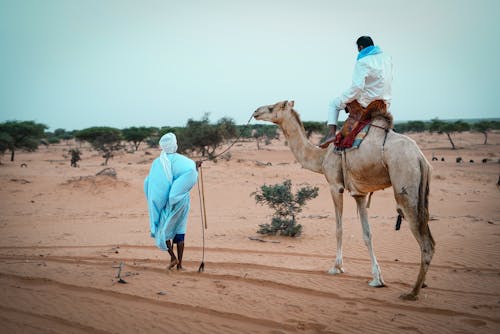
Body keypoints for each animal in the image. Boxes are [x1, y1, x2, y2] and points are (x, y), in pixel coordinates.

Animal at [254, 100, 434, 300]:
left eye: (272, 107)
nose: (256, 111)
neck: (321, 157)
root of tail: (420, 157)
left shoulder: (335, 186)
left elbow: (339, 229)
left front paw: (336, 267)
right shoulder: (360, 194)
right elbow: (367, 234)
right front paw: (377, 279)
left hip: (405, 184)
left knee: (426, 243)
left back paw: (412, 292)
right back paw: (421, 285)